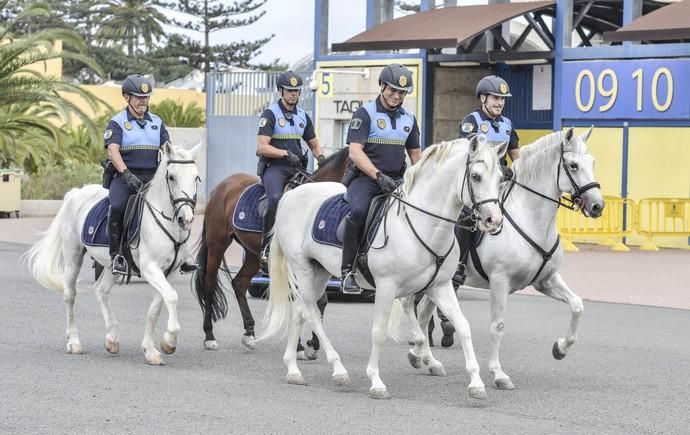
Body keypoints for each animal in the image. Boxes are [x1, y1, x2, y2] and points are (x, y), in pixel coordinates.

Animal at [22, 142, 200, 364]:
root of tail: (75, 193)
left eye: (196, 177)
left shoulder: (171, 272)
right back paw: (74, 342)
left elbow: (157, 307)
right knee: (70, 296)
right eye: (172, 177)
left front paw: (151, 350)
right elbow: (172, 297)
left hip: (111, 264)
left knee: (101, 290)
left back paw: (112, 338)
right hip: (73, 257)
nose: (186, 219)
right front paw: (169, 341)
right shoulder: (150, 268)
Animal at [192, 148, 350, 352]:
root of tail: (222, 186)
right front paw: (299, 346)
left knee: (239, 283)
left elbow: (320, 301)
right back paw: (209, 335)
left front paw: (313, 343)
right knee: (209, 284)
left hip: (252, 255)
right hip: (216, 245)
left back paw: (249, 332)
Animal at [258, 138, 506, 400]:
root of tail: (291, 195)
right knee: (312, 313)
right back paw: (338, 369)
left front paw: (476, 382)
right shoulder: (387, 287)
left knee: (300, 312)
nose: (494, 220)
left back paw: (293, 369)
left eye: (500, 178)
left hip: (319, 272)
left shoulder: (440, 286)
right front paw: (376, 381)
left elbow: (463, 326)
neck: (422, 223)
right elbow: (379, 331)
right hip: (303, 269)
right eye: (476, 176)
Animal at [408, 127, 600, 390]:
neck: (529, 217)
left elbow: (577, 305)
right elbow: (498, 326)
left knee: (424, 311)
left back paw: (425, 358)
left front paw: (560, 348)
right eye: (573, 165)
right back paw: (419, 350)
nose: (598, 206)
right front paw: (498, 373)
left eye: (592, 163)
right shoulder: (500, 282)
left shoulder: (546, 281)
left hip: (438, 282)